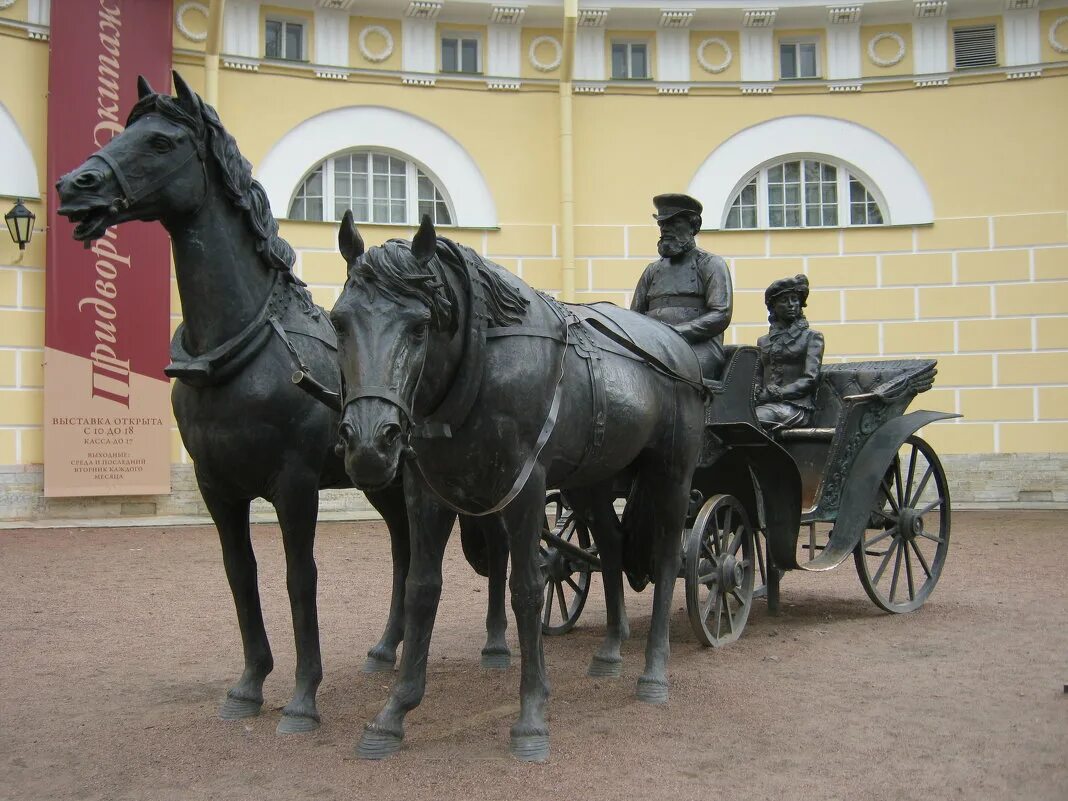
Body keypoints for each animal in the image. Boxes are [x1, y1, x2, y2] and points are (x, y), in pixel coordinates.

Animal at [54, 72, 512, 739]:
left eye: (161, 141)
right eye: (123, 131)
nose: (74, 186)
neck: (237, 352)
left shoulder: (293, 484)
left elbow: (301, 580)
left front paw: (302, 698)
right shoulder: (218, 488)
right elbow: (241, 577)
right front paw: (248, 686)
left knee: (495, 544)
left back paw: (496, 644)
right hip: (382, 479)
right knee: (403, 550)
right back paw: (387, 649)